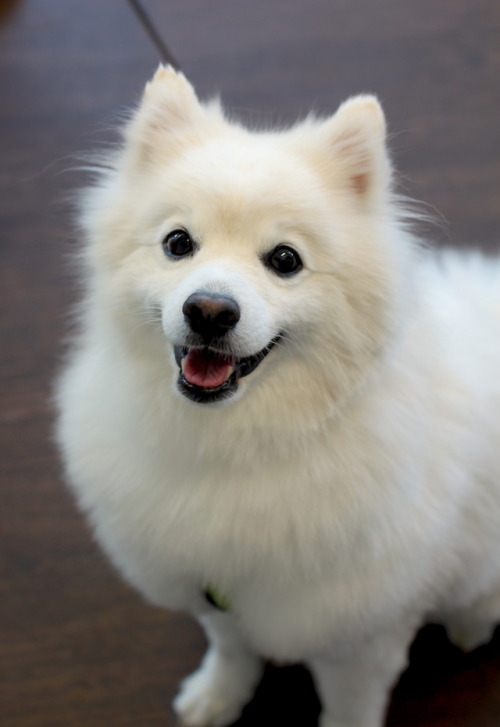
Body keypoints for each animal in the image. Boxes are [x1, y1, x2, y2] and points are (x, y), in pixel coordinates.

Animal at [54, 65, 500, 724]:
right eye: (178, 243)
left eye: (285, 259)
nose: (209, 310)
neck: (241, 445)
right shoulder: (217, 586)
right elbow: (231, 649)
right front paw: (217, 696)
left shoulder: (361, 633)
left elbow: (350, 707)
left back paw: (472, 623)